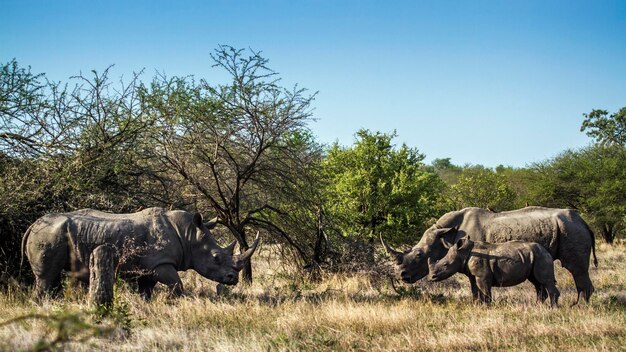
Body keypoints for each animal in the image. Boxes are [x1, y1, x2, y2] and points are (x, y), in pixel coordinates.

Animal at [22, 208, 258, 298]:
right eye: (216, 258)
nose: (233, 279)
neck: (189, 236)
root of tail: (33, 225)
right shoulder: (160, 263)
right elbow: (176, 284)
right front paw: (171, 301)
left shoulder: (149, 266)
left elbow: (146, 290)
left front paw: (150, 303)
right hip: (50, 234)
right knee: (46, 277)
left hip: (55, 235)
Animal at [426, 238, 560, 306]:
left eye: (445, 265)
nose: (431, 277)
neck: (463, 253)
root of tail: (546, 251)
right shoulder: (473, 276)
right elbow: (475, 290)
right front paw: (476, 305)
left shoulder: (482, 275)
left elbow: (485, 290)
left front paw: (487, 306)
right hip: (535, 256)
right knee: (537, 282)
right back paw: (538, 306)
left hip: (541, 256)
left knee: (544, 281)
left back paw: (552, 308)